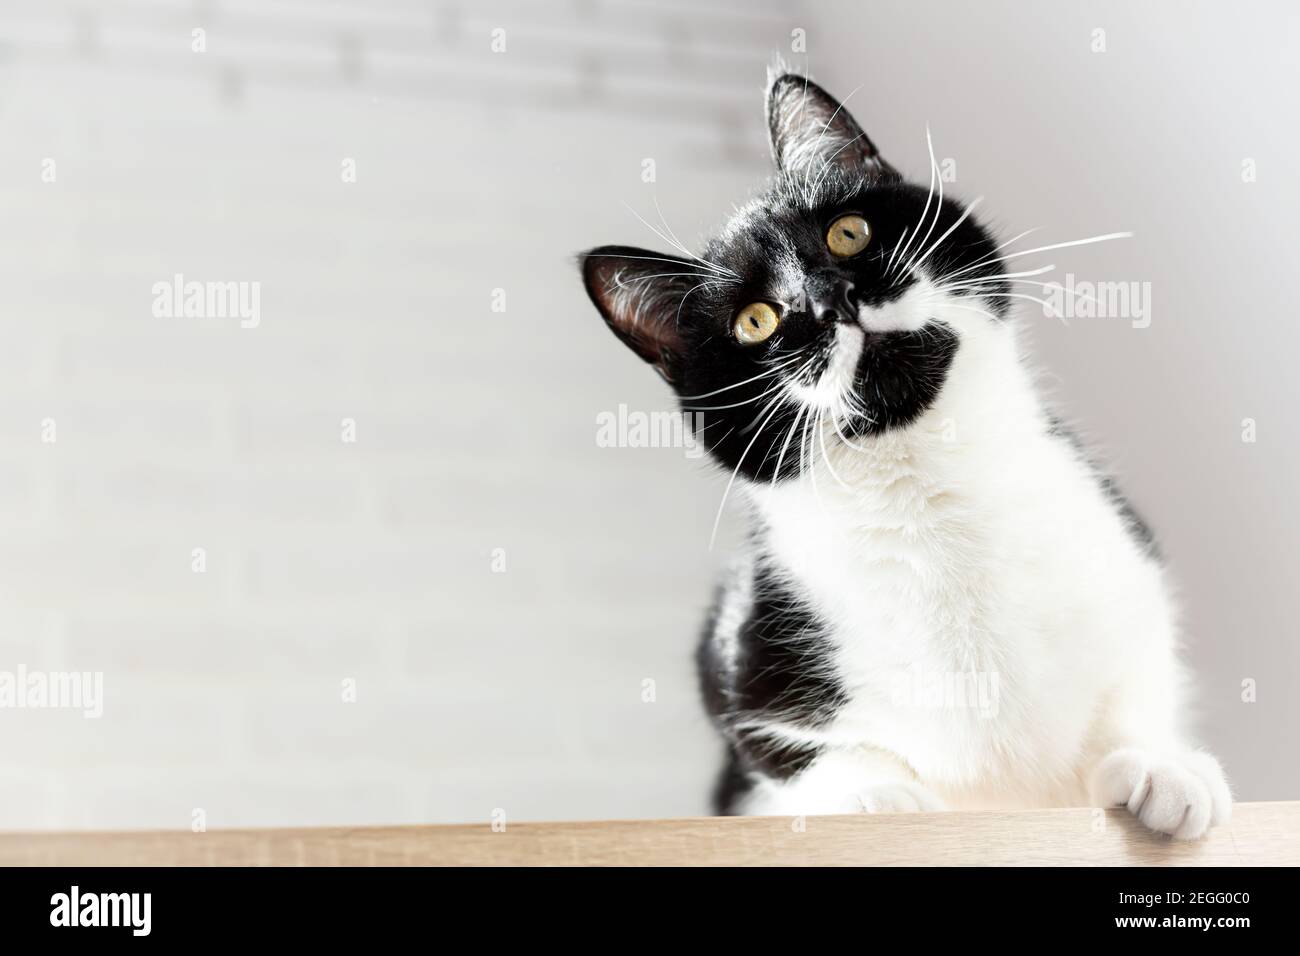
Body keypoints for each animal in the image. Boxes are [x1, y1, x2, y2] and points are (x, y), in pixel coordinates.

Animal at [579, 69, 1227, 837]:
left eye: (848, 233)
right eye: (755, 321)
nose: (831, 298)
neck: (931, 492)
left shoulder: (1126, 564)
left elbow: (1137, 683)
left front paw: (1162, 764)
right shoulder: (740, 653)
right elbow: (794, 747)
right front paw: (870, 795)